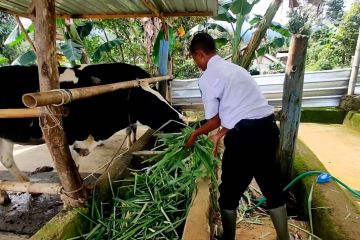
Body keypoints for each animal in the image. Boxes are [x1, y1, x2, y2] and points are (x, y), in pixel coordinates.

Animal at [0, 62, 184, 204]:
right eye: (151, 102)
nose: (183, 121)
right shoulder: (69, 140)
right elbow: (71, 170)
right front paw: (79, 198)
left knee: (6, 159)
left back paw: (28, 189)